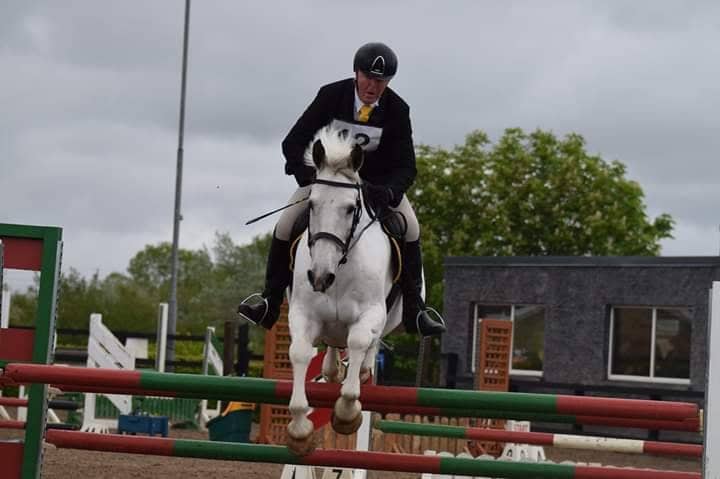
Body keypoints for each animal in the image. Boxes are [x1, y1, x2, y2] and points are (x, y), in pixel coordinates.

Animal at [285, 125, 402, 455]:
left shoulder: (371, 313)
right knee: (333, 346)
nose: (319, 277)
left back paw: (361, 371)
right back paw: (332, 368)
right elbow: (299, 352)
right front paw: (299, 429)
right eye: (312, 204)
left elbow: (360, 341)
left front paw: (347, 413)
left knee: (367, 345)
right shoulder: (303, 313)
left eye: (351, 209)